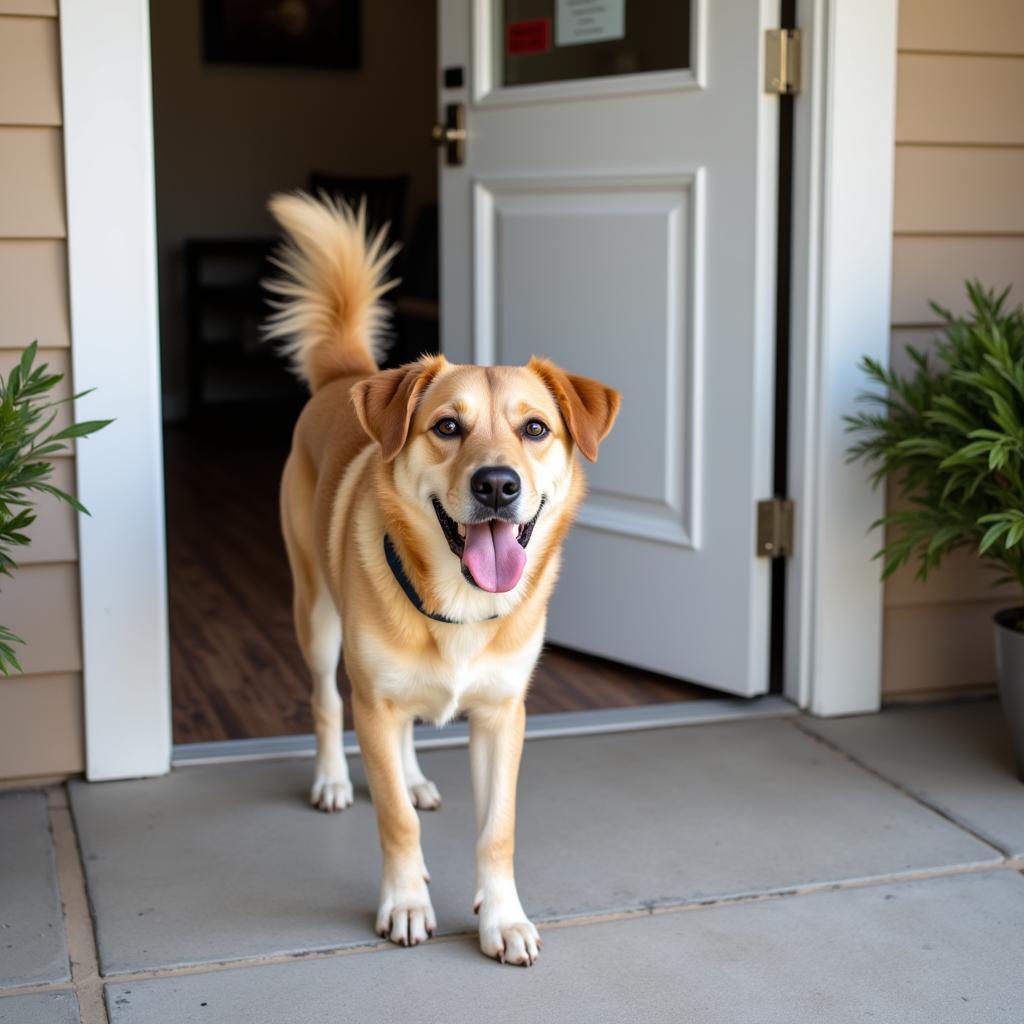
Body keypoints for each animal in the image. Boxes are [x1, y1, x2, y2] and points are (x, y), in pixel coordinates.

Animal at [264, 193, 618, 966]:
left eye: (536, 429)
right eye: (448, 427)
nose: (497, 485)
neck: (458, 602)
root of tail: (346, 378)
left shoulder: (502, 716)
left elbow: (498, 830)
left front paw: (502, 916)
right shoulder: (373, 695)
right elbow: (395, 821)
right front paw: (405, 901)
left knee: (399, 742)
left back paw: (416, 777)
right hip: (318, 617)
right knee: (328, 704)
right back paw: (334, 777)